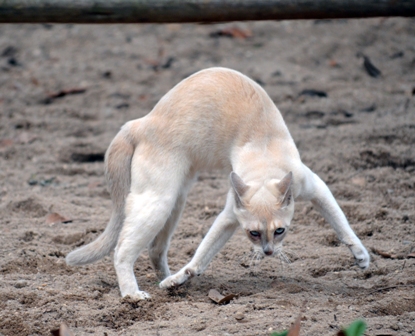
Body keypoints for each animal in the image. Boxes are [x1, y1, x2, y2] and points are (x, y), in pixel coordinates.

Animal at [66, 66, 372, 300]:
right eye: (254, 234)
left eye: (280, 231)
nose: (268, 253)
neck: (264, 164)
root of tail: (139, 123)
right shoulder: (229, 216)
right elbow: (200, 256)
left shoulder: (315, 188)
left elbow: (342, 225)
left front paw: (361, 256)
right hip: (159, 202)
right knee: (121, 252)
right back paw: (132, 295)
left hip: (175, 201)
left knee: (154, 250)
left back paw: (167, 282)